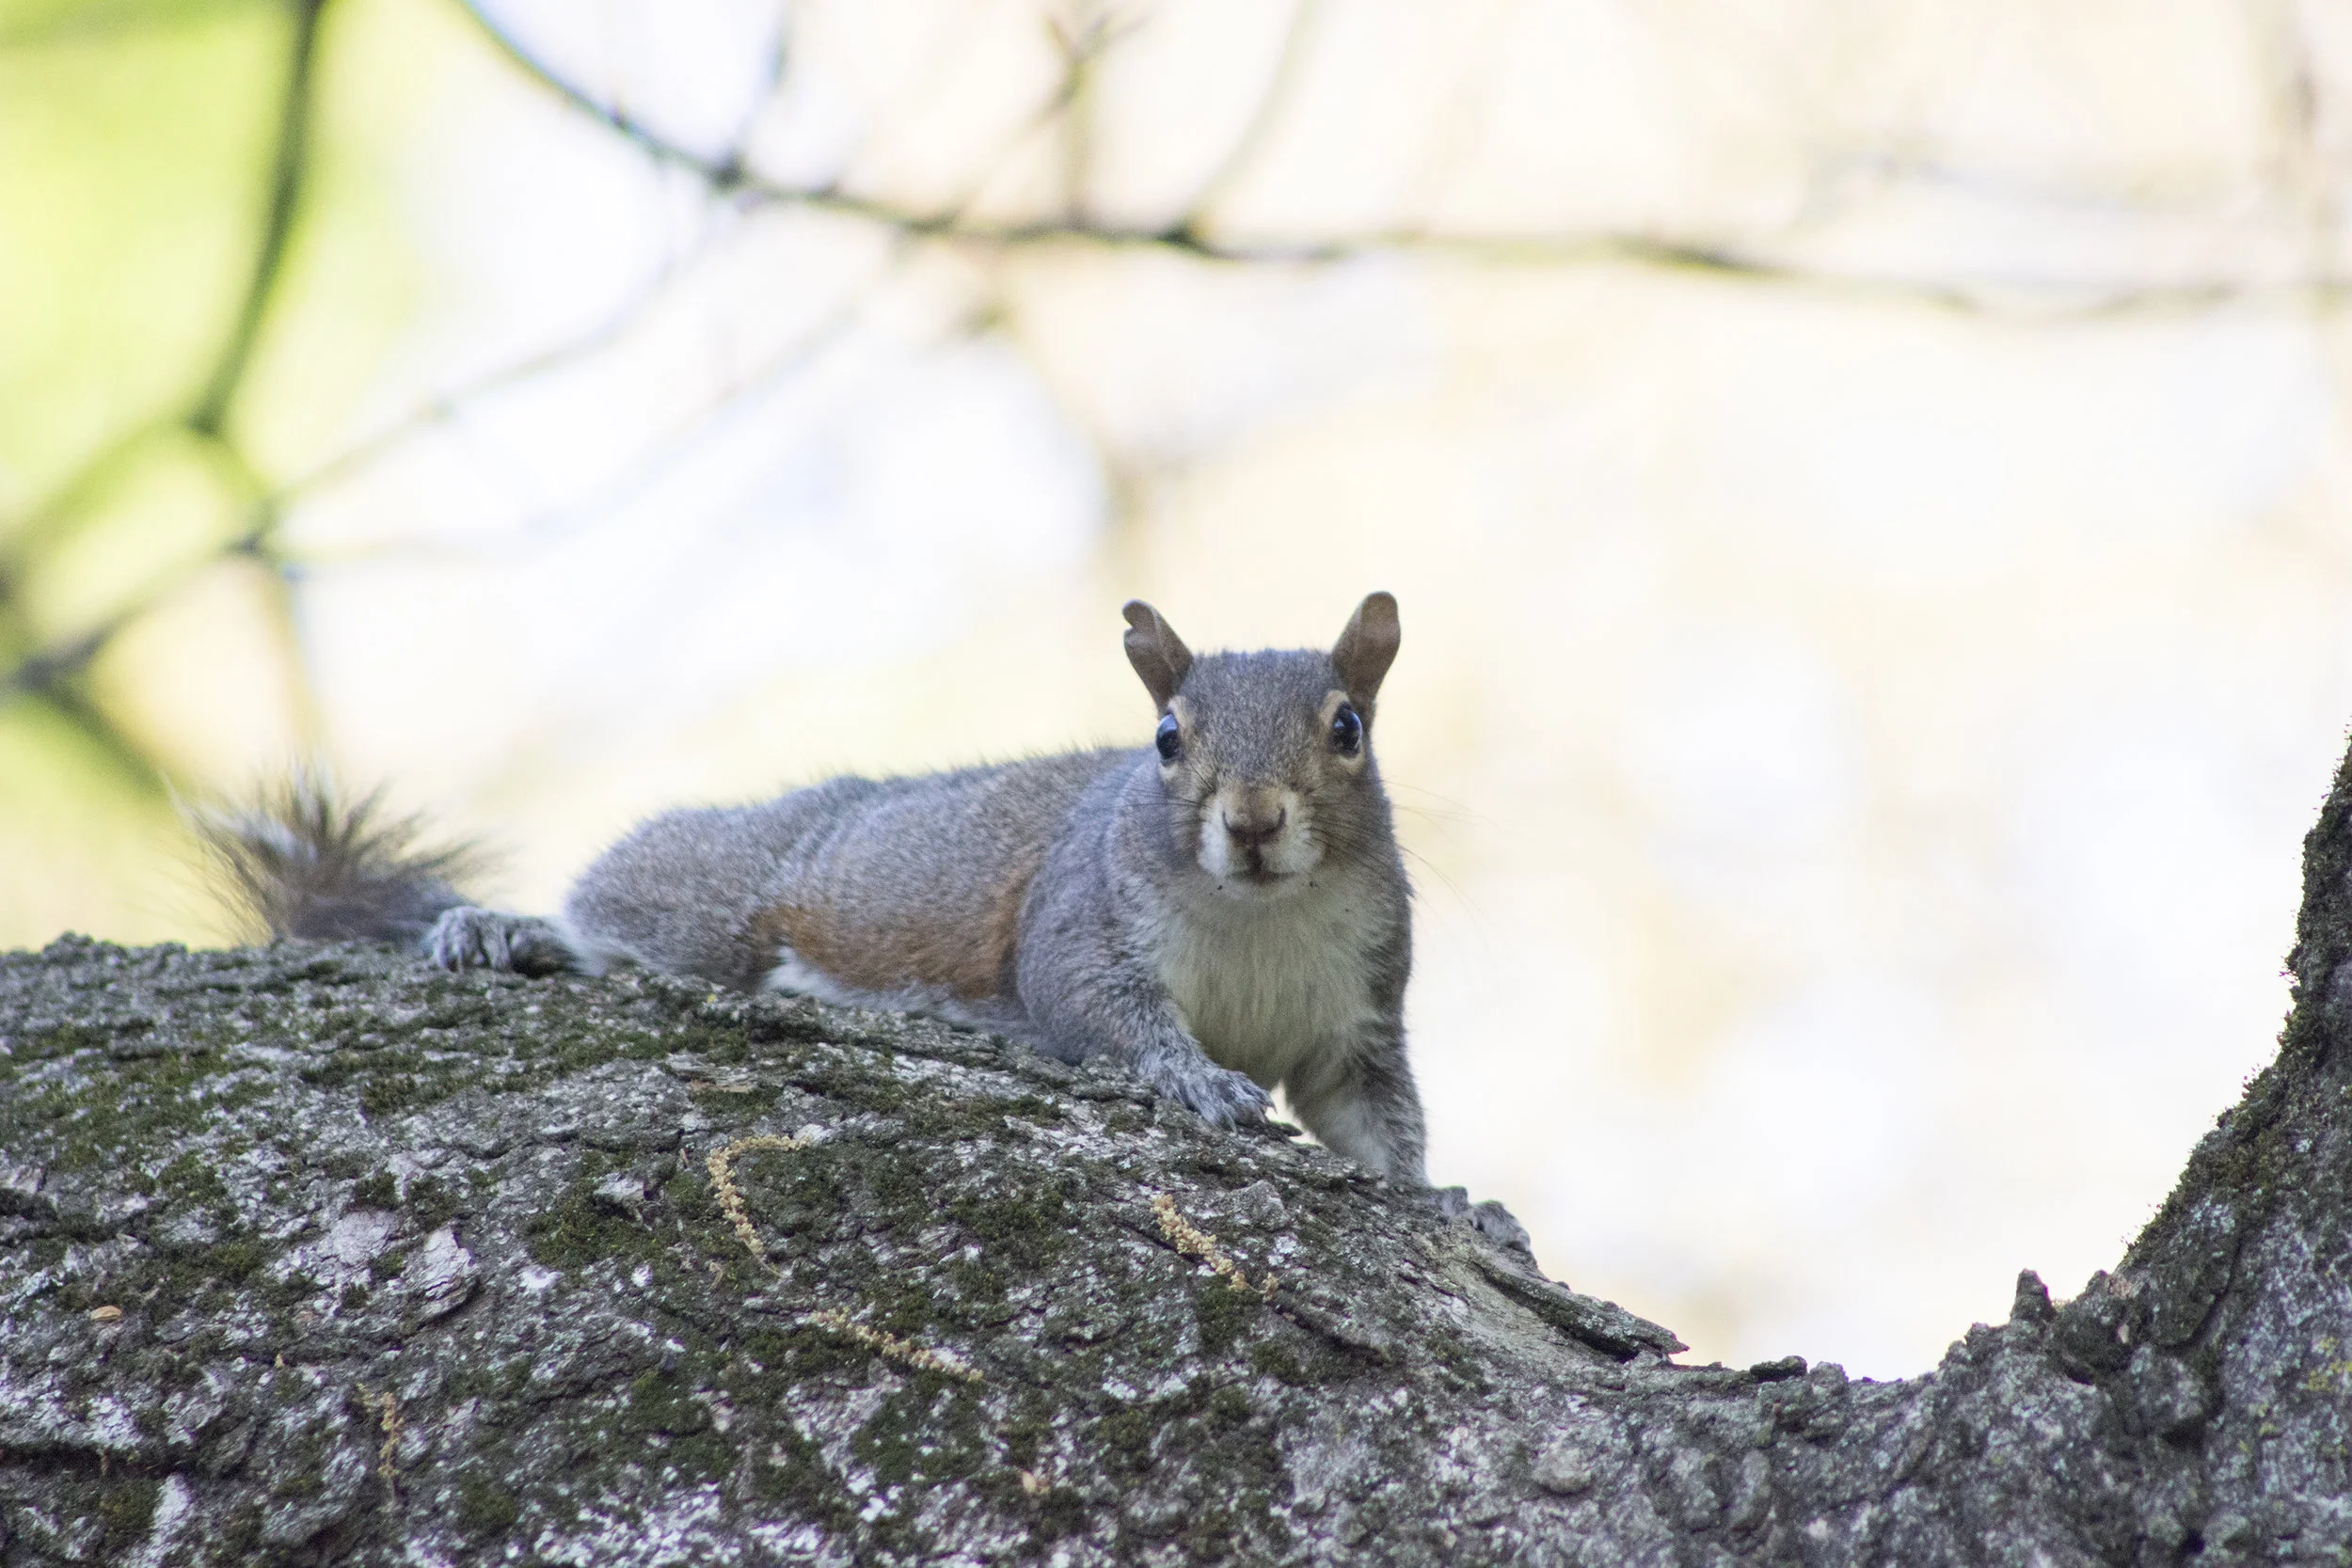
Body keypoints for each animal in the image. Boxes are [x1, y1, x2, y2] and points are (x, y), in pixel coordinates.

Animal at [208, 593, 1525, 1238]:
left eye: (1347, 727)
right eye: (1165, 739)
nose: (1251, 820)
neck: (1259, 915)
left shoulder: (1357, 1010)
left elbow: (1377, 1119)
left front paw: (1450, 1203)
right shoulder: (1076, 920)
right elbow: (1096, 1008)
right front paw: (1192, 1076)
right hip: (710, 903)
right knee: (612, 915)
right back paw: (509, 930)